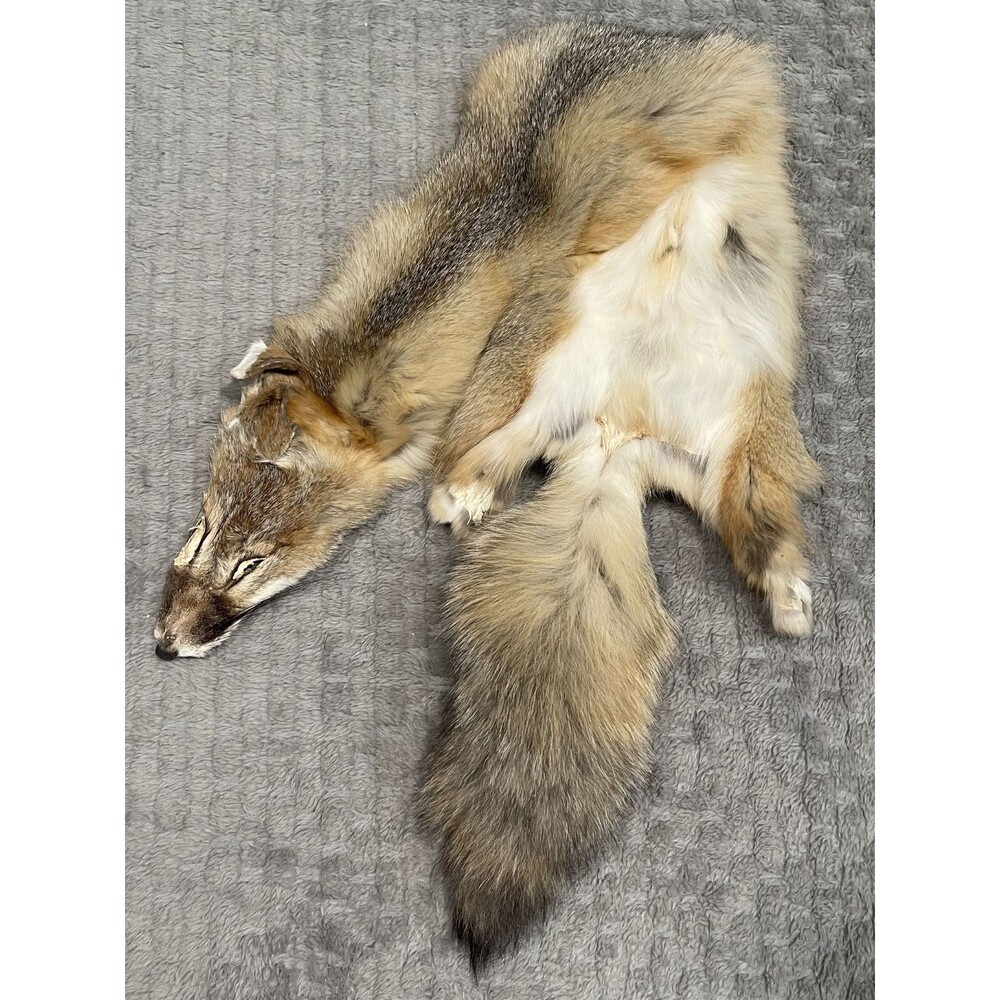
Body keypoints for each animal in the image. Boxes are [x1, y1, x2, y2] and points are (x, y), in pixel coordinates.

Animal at [154, 21, 819, 964]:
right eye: (202, 532)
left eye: (252, 564)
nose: (163, 646)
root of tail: (619, 436)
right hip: (557, 381)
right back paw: (466, 496)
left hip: (738, 423)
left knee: (757, 525)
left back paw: (783, 586)